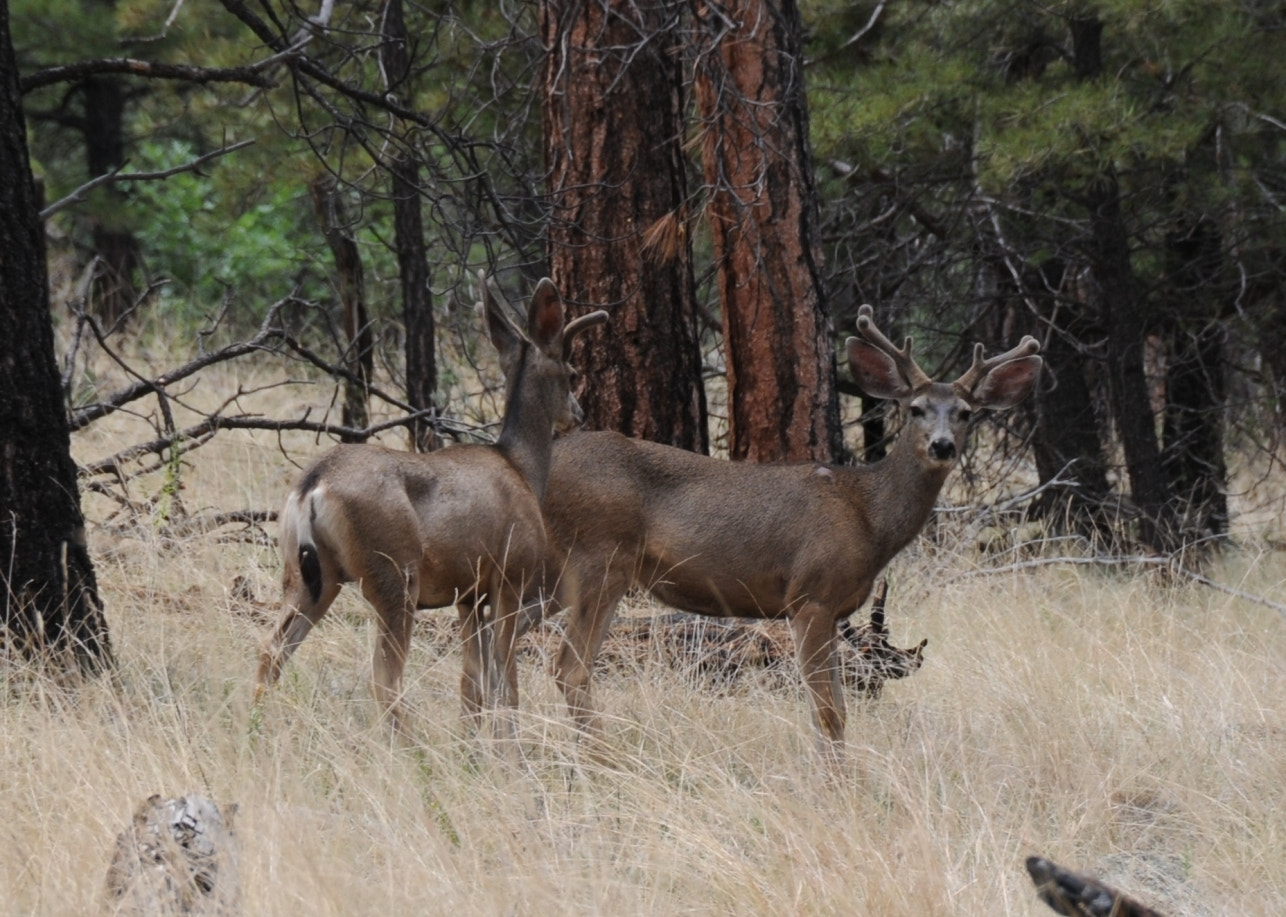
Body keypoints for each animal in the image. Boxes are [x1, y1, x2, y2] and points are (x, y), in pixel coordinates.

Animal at [254, 274, 607, 736]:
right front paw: (507, 743)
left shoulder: (469, 592)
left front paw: (471, 740)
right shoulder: (511, 574)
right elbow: (504, 677)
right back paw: (409, 744)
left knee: (271, 651)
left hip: (308, 576)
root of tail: (312, 486)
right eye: (571, 372)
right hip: (393, 575)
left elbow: (472, 681)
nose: (579, 414)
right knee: (383, 677)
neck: (522, 468)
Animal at [539, 305, 1042, 763]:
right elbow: (827, 712)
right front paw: (835, 784)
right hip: (597, 558)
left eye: (966, 413)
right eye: (915, 408)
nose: (942, 445)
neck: (867, 516)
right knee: (569, 668)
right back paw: (600, 764)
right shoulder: (811, 596)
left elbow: (838, 710)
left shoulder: (835, 610)